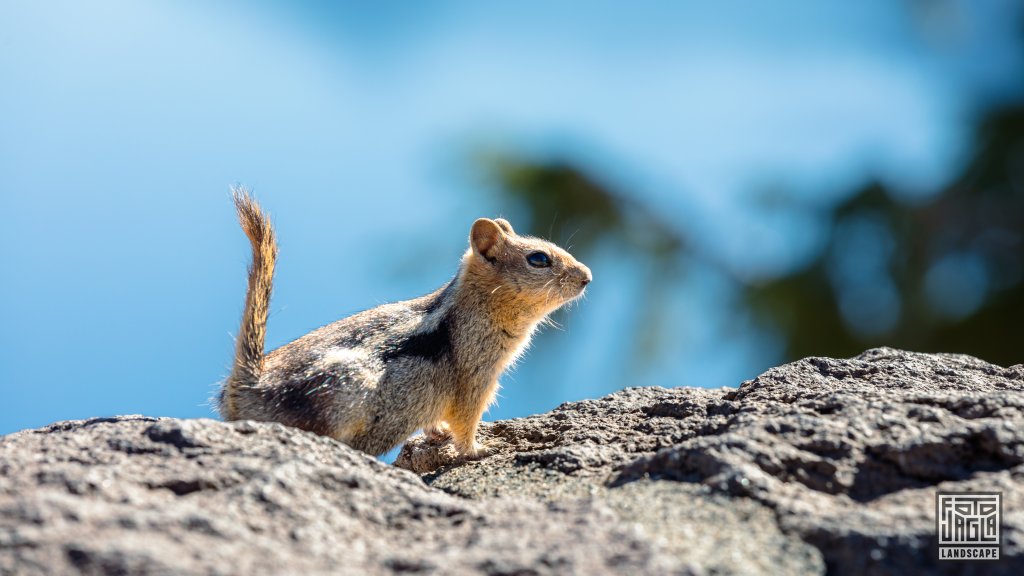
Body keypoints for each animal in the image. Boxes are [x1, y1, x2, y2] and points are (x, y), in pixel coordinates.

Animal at [223, 188, 593, 457]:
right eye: (539, 259)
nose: (587, 276)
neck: (476, 305)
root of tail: (247, 384)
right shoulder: (476, 378)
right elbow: (466, 420)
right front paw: (481, 449)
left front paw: (438, 435)